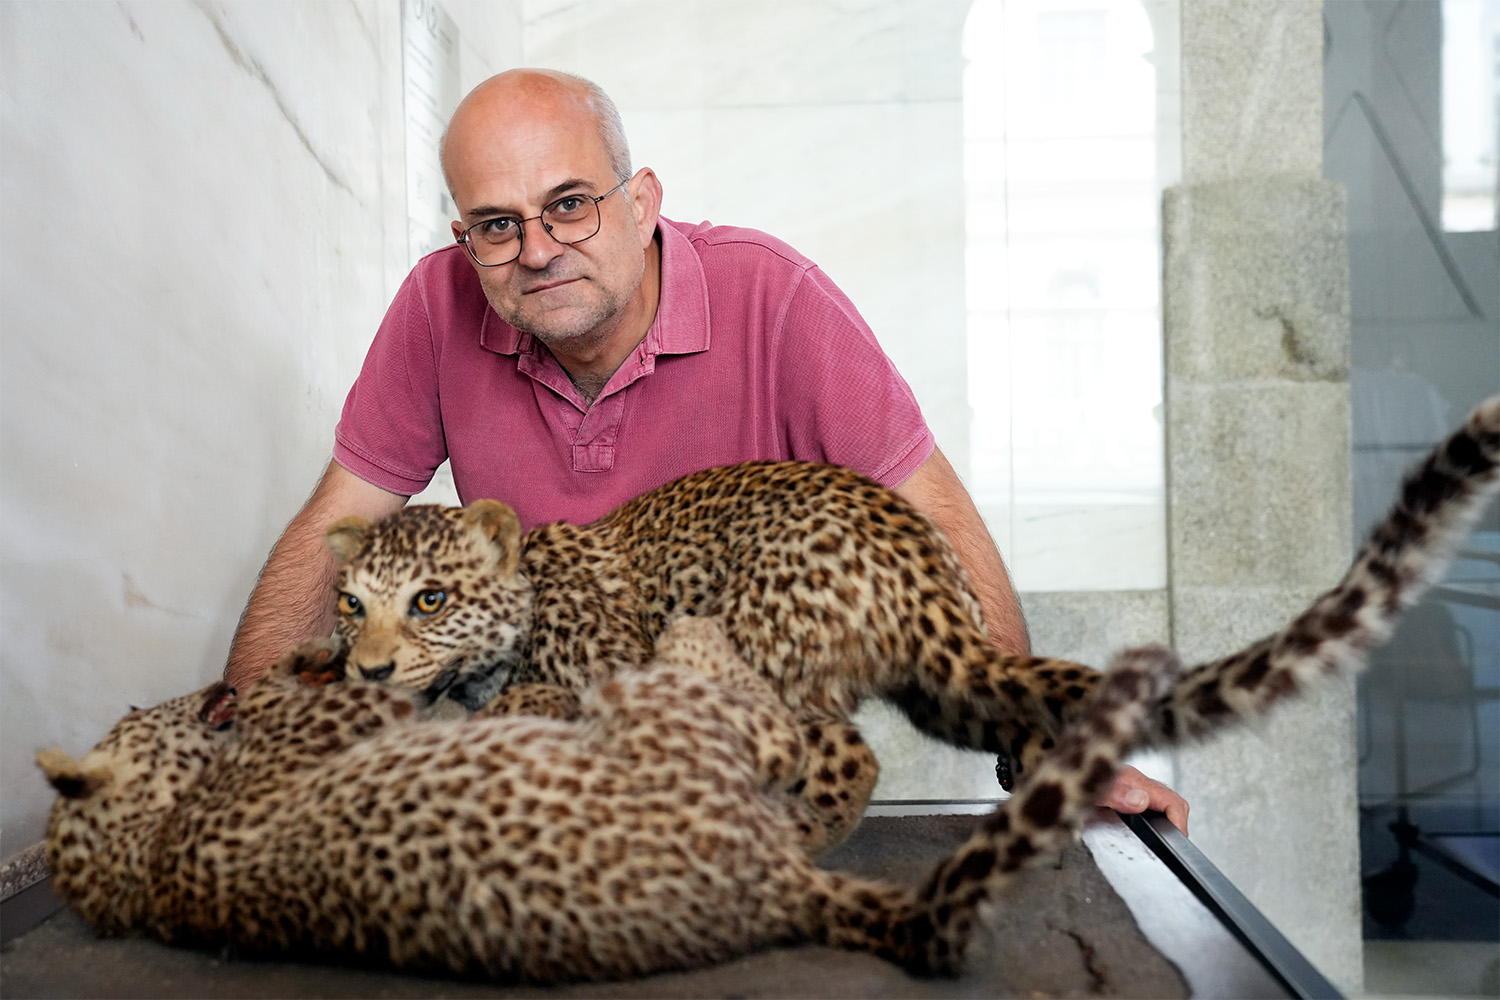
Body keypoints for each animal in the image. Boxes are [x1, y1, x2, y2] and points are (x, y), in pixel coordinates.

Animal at [316, 395, 1500, 851]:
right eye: (350, 602)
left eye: (428, 599)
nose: (367, 669)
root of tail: (917, 568)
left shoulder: (604, 662)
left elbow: (533, 696)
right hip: (948, 690)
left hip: (757, 653)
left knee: (840, 753)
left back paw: (800, 830)